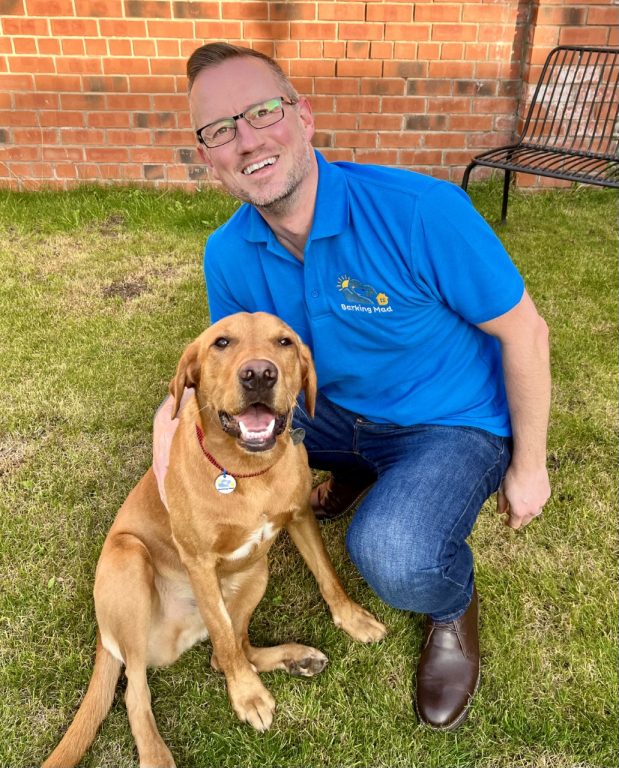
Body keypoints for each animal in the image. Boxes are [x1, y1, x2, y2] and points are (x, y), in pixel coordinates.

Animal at [43, 310, 386, 768]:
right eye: (221, 342)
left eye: (284, 342)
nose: (259, 374)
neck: (248, 472)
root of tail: (103, 633)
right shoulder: (200, 561)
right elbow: (223, 639)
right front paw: (247, 696)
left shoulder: (300, 516)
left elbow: (327, 575)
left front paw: (351, 618)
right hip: (129, 559)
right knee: (144, 686)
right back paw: (158, 752)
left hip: (256, 573)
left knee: (226, 654)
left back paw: (296, 658)